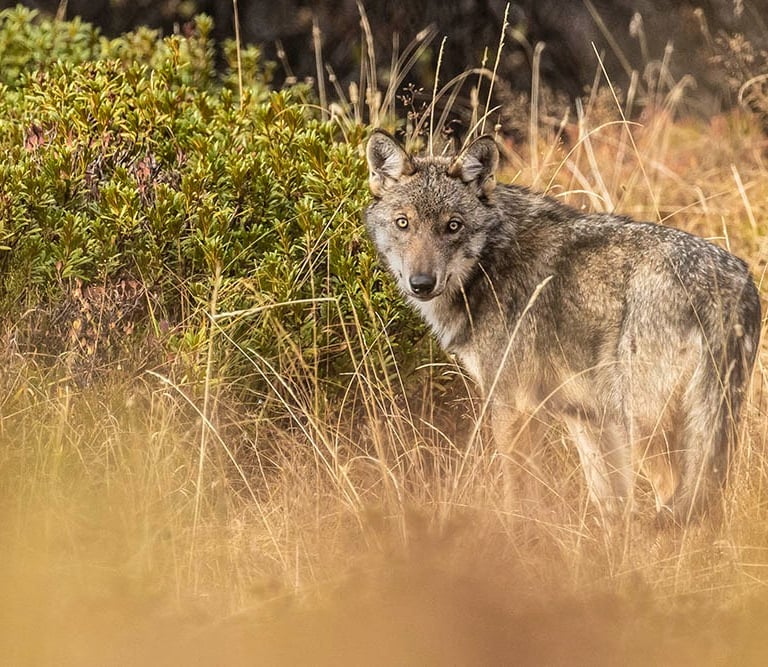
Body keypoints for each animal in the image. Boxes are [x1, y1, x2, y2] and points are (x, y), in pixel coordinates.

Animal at [364, 129, 761, 524]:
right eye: (403, 223)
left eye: (453, 225)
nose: (421, 283)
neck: (492, 261)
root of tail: (727, 282)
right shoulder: (585, 417)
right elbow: (611, 505)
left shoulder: (514, 405)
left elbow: (516, 496)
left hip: (647, 429)